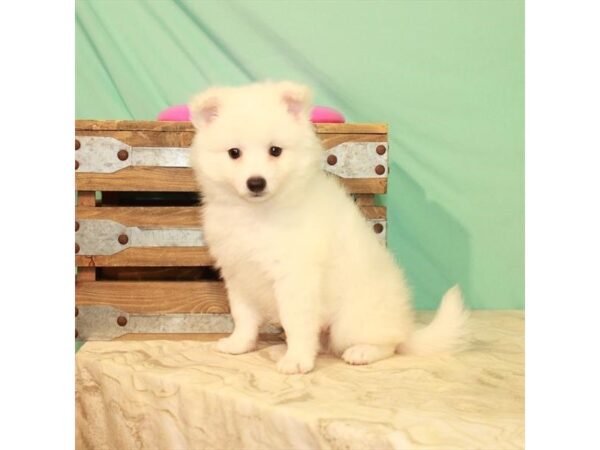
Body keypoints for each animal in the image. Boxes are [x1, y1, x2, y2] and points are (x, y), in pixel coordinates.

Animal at [189, 80, 468, 372]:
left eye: (275, 151)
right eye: (234, 153)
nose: (256, 182)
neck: (257, 213)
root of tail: (406, 327)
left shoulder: (296, 276)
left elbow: (296, 323)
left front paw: (297, 360)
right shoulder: (238, 274)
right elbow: (243, 317)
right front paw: (239, 344)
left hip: (352, 321)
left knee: (389, 344)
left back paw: (362, 352)